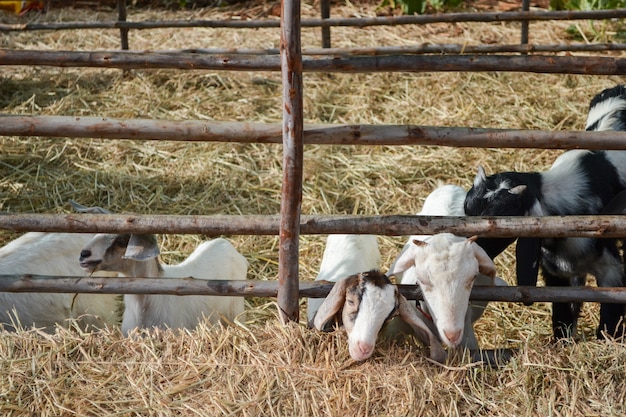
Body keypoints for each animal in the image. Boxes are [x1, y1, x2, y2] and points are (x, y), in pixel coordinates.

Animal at [460, 83, 624, 338]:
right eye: (466, 210)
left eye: (499, 223)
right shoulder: (557, 273)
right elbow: (563, 314)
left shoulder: (610, 269)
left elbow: (610, 318)